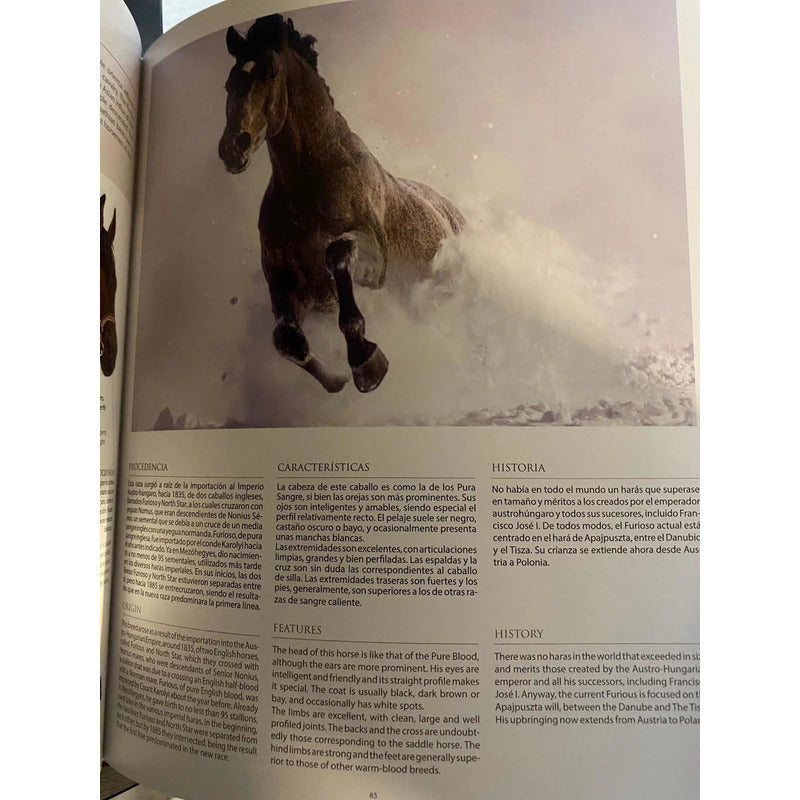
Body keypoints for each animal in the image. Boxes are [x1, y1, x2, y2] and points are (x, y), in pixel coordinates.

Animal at [218, 14, 464, 393]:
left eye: (271, 71)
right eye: (229, 83)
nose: (233, 148)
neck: (307, 186)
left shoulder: (367, 250)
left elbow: (339, 265)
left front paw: (366, 363)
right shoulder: (286, 278)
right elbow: (287, 341)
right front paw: (336, 380)